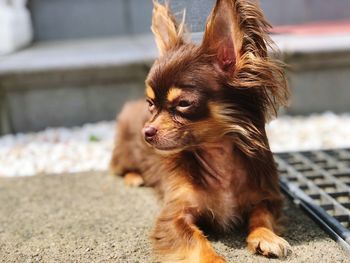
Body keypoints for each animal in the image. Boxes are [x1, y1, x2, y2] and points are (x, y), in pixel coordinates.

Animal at [109, 1, 290, 262]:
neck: (219, 159)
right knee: (118, 168)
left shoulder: (267, 197)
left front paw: (267, 236)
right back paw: (135, 177)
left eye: (184, 104)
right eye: (150, 103)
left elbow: (261, 215)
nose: (146, 131)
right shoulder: (173, 216)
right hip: (124, 155)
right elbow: (196, 242)